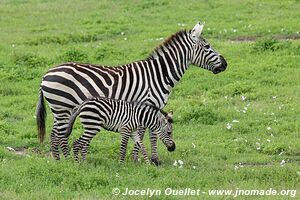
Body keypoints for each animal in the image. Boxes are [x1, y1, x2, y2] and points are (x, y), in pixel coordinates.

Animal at [35, 22, 227, 162]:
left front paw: (154, 160)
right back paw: (65, 161)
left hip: (63, 109)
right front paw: (138, 159)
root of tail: (46, 74)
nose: (225, 64)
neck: (159, 74)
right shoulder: (147, 103)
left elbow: (153, 133)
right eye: (208, 47)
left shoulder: (153, 107)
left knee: (56, 134)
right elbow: (145, 133)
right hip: (63, 107)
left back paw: (60, 160)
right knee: (57, 135)